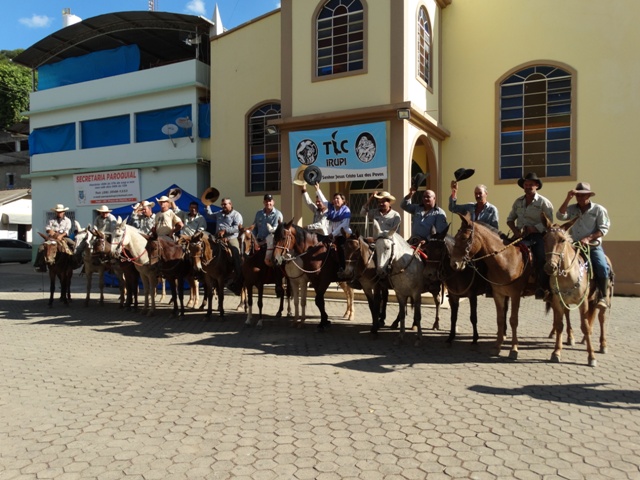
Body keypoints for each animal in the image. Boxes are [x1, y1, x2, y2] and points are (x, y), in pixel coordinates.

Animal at [450, 212, 540, 358]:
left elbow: (513, 320)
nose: (454, 264)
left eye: (463, 238)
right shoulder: (498, 294)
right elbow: (500, 319)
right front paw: (497, 346)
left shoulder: (515, 295)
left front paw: (514, 349)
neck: (506, 260)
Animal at [544, 214, 612, 368]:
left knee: (602, 318)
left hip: (604, 298)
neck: (568, 274)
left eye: (562, 240)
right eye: (545, 239)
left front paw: (591, 357)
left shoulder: (583, 302)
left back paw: (603, 345)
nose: (550, 267)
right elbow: (559, 325)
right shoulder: (558, 301)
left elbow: (585, 326)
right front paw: (556, 352)